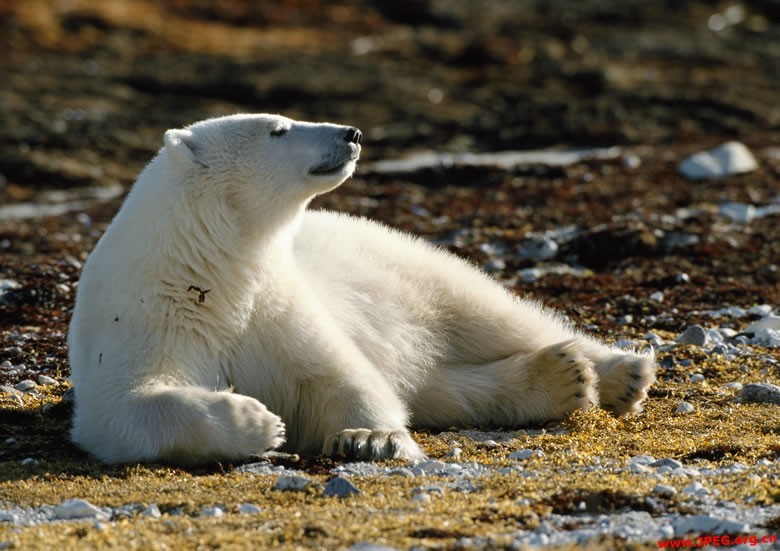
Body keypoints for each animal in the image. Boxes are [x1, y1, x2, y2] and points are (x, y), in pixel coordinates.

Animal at [67, 113, 656, 466]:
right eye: (278, 129)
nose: (351, 133)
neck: (211, 271)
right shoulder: (145, 318)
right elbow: (125, 407)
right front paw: (258, 421)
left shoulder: (275, 305)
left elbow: (341, 374)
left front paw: (369, 438)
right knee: (443, 386)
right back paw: (561, 377)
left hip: (405, 265)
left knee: (489, 314)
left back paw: (620, 372)